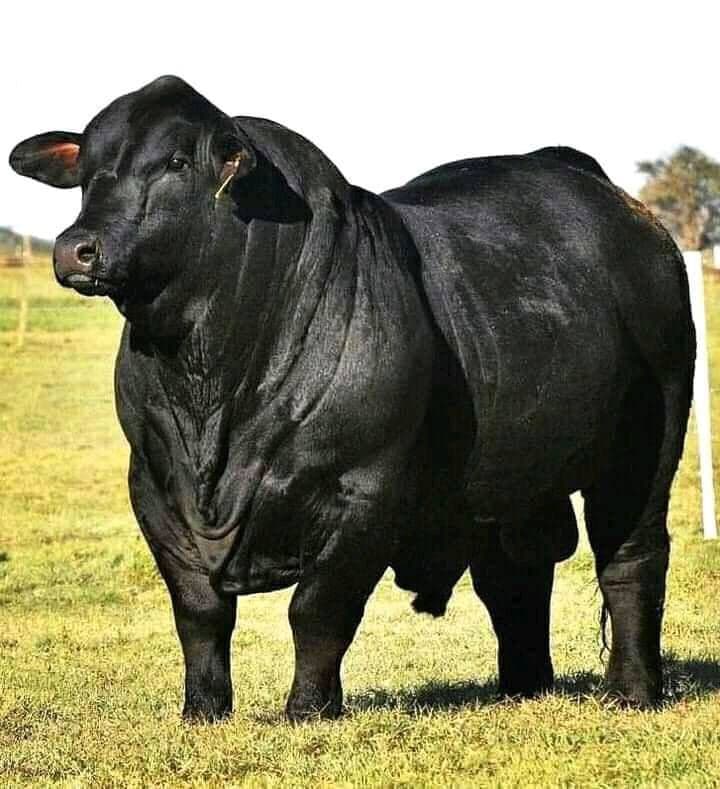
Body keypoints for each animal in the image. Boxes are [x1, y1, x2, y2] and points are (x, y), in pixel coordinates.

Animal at [9, 76, 694, 721]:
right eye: (88, 169)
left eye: (178, 162)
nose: (77, 248)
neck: (212, 383)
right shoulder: (152, 486)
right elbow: (200, 612)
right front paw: (203, 710)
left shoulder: (363, 492)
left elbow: (318, 610)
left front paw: (309, 709)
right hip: (510, 480)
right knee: (513, 576)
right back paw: (523, 687)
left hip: (647, 444)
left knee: (631, 558)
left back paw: (632, 690)